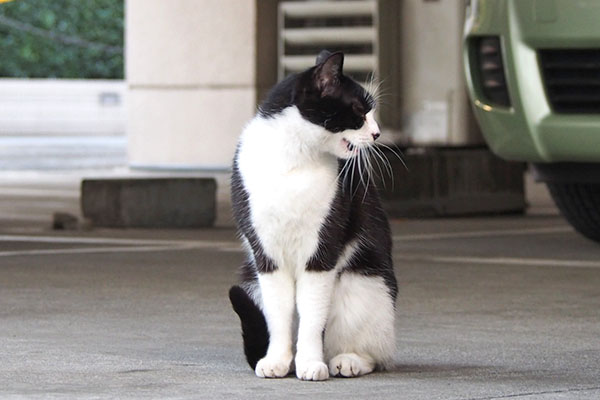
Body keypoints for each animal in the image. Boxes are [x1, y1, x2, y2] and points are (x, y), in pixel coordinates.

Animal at [227, 50, 396, 382]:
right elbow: (280, 315)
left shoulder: (321, 252)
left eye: (371, 111)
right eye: (360, 110)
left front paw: (309, 363)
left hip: (363, 284)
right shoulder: (267, 257)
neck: (294, 159)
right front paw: (277, 361)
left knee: (373, 350)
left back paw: (347, 361)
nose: (377, 133)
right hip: (251, 282)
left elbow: (312, 316)